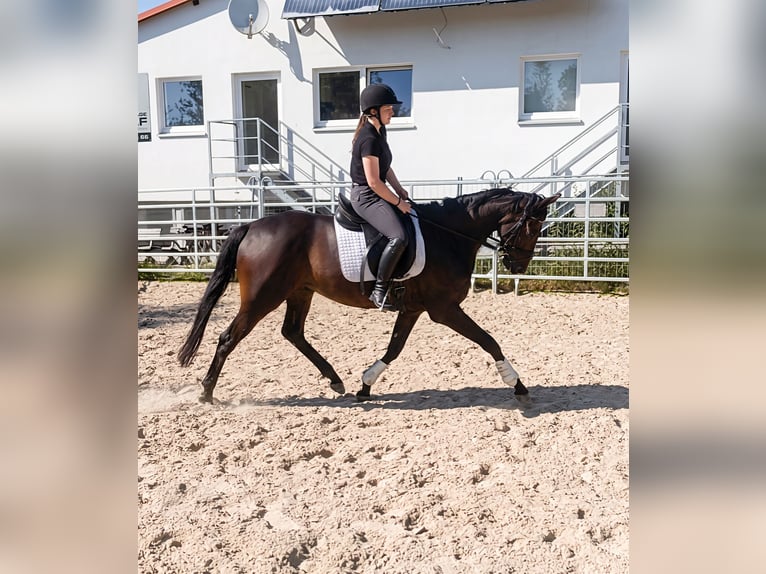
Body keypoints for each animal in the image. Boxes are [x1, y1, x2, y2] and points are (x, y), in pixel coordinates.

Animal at [178, 187, 560, 403]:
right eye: (533, 225)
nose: (519, 265)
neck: (447, 236)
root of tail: (251, 226)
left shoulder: (413, 309)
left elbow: (394, 349)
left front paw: (365, 386)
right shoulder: (444, 309)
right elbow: (489, 340)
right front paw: (517, 384)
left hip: (300, 292)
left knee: (293, 332)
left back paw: (335, 380)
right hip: (262, 297)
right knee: (228, 338)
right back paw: (207, 391)